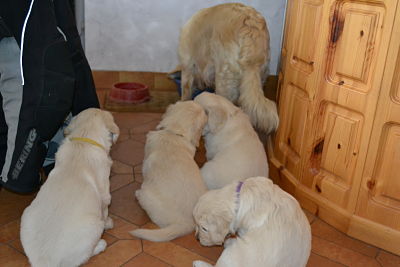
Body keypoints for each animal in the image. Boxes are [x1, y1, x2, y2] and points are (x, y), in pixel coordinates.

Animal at [20, 109, 119, 267]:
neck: (83, 141)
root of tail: (45, 260)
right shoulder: (104, 195)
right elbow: (105, 210)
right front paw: (108, 223)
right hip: (94, 225)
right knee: (84, 256)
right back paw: (101, 245)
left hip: (26, 215)